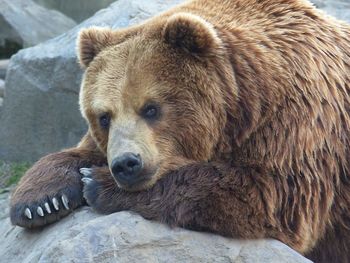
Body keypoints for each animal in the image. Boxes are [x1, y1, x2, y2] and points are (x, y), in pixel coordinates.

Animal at [9, 1, 350, 262]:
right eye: (104, 117)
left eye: (151, 108)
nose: (126, 164)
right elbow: (78, 153)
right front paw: (40, 201)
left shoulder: (298, 118)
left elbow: (269, 193)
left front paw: (97, 183)